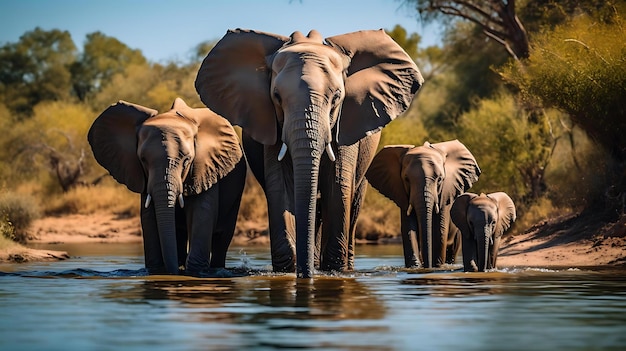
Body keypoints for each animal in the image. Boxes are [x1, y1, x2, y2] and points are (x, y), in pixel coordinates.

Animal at [88, 97, 244, 276]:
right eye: (143, 159)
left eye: (187, 160)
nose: (174, 272)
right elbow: (149, 217)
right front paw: (158, 270)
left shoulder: (206, 166)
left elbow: (202, 211)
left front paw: (194, 272)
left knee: (222, 238)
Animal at [193, 28, 422, 280]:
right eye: (276, 97)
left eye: (337, 98)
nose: (306, 275)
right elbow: (280, 186)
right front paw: (291, 269)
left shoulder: (346, 122)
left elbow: (337, 185)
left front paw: (331, 270)